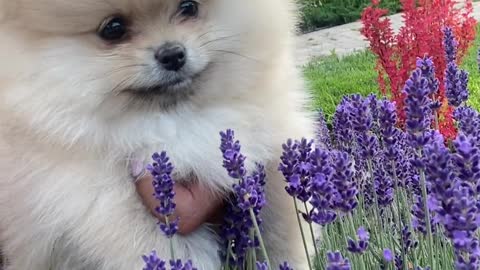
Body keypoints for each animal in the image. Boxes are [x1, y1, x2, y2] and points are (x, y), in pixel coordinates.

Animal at [0, 0, 316, 268]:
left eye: (189, 7)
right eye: (113, 28)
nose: (172, 54)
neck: (175, 119)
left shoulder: (271, 149)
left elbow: (282, 228)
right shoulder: (101, 204)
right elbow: (164, 248)